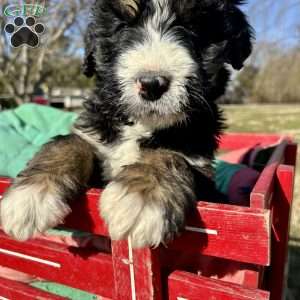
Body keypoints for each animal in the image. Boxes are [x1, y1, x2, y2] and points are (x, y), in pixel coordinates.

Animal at [0, 0, 253, 248]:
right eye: (121, 27)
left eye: (194, 28)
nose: (151, 83)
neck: (141, 124)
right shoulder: (95, 133)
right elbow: (70, 142)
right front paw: (30, 195)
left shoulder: (201, 165)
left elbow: (169, 154)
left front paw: (141, 197)